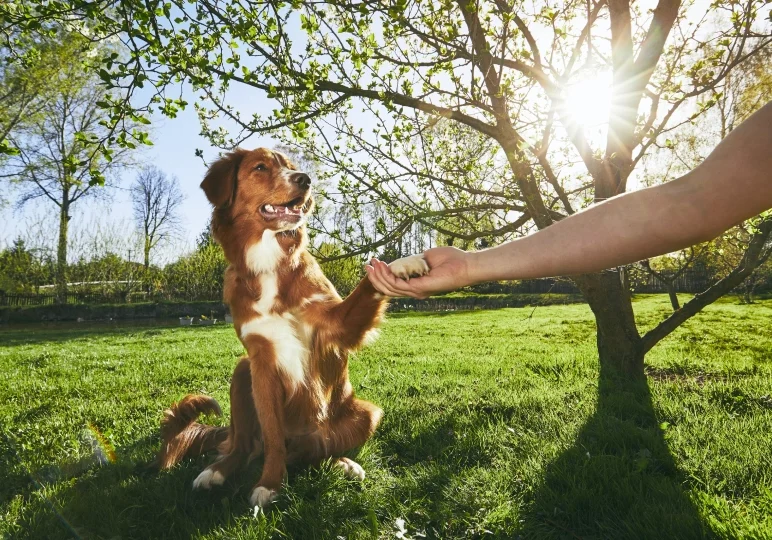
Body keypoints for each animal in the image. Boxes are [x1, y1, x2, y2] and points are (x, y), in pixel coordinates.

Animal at [153, 147, 426, 506]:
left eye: (292, 167)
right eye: (260, 167)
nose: (305, 180)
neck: (270, 262)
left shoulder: (336, 325)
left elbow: (369, 282)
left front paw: (403, 265)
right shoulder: (261, 361)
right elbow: (272, 436)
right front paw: (270, 483)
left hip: (366, 414)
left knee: (316, 451)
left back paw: (343, 463)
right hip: (242, 372)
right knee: (243, 446)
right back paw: (216, 472)